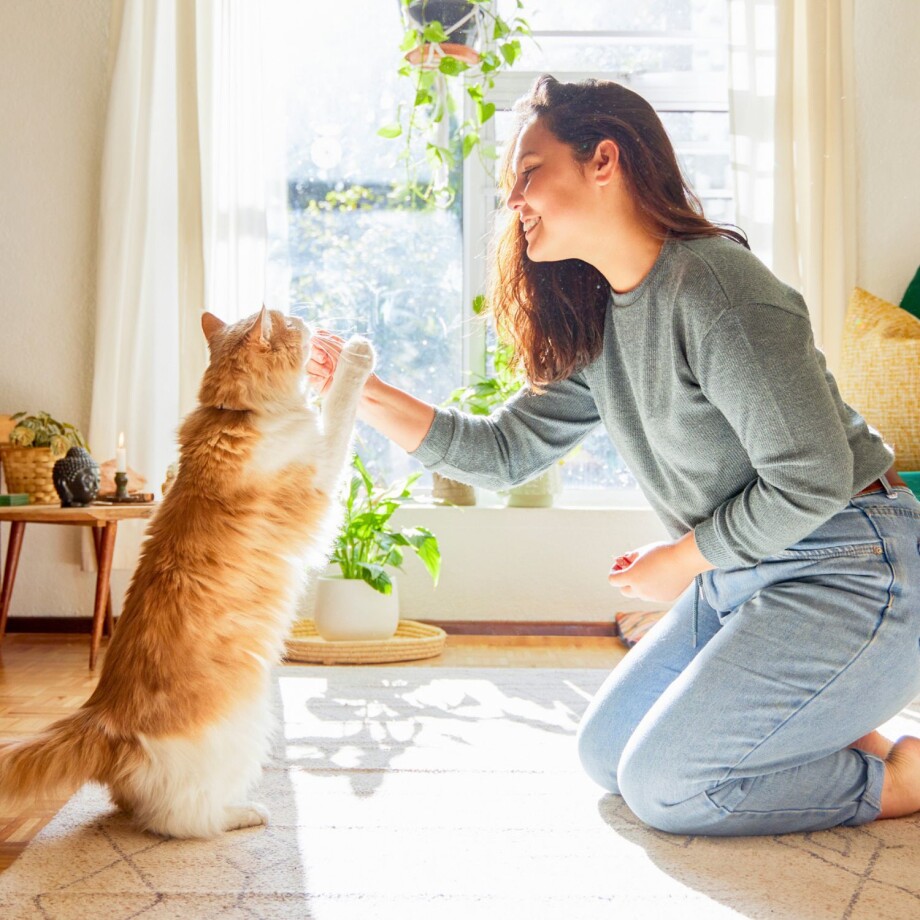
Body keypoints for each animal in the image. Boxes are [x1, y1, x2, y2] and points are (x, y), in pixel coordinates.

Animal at [0, 308, 376, 832]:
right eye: (289, 320)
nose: (306, 317)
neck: (233, 412)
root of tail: (103, 716)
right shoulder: (321, 474)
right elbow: (339, 407)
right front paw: (356, 354)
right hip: (248, 726)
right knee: (179, 819)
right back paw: (245, 813)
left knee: (133, 805)